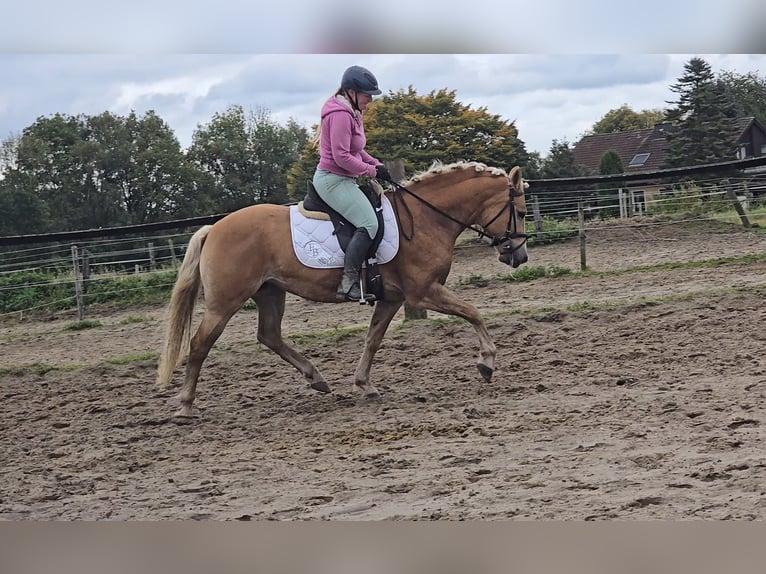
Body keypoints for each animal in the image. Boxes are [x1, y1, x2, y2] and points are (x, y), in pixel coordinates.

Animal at [156, 162, 528, 418]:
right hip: (225, 302)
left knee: (269, 335)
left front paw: (365, 385)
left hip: (270, 291)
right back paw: (186, 405)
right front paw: (487, 362)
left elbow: (373, 339)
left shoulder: (393, 298)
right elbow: (473, 312)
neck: (425, 218)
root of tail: (214, 228)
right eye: (521, 212)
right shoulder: (423, 292)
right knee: (200, 344)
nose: (519, 256)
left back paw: (316, 378)